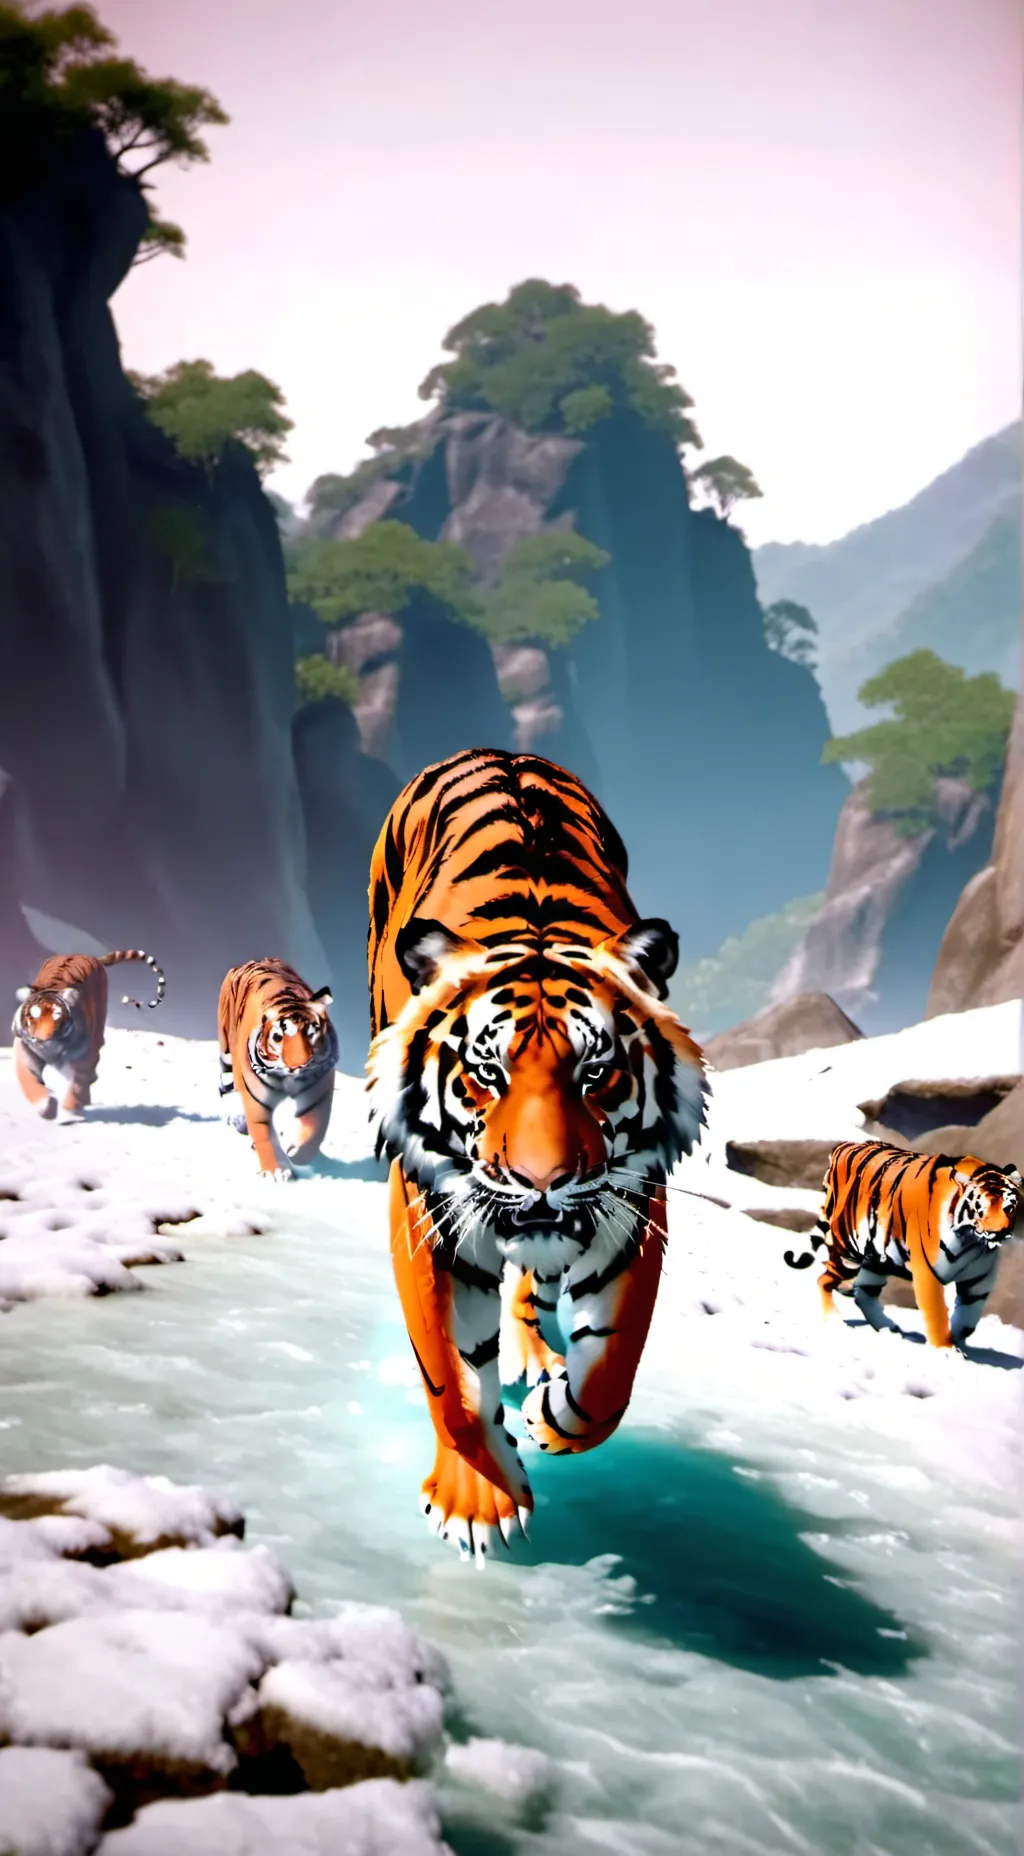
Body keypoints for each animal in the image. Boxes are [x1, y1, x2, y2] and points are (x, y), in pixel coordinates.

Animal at [12, 948, 164, 1118]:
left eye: (57, 1016)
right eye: (33, 1015)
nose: (42, 1040)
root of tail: (86, 956)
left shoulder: (83, 1055)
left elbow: (78, 1083)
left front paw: (71, 1108)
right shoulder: (26, 1054)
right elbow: (29, 1081)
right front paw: (46, 1107)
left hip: (98, 1023)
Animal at [218, 959, 338, 1180]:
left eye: (311, 1033)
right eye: (277, 1037)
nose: (299, 1065)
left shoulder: (317, 1094)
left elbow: (314, 1129)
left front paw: (297, 1154)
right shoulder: (256, 1100)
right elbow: (264, 1134)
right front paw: (276, 1171)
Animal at [365, 747, 708, 1566]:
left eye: (597, 1073)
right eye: (488, 1073)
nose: (543, 1181)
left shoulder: (632, 1204)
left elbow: (612, 1368)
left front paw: (552, 1418)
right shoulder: (431, 1212)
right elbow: (453, 1378)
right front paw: (477, 1502)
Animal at [784, 1138, 1022, 1350]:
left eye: (1009, 1207)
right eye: (979, 1209)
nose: (998, 1232)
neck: (970, 1240)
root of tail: (843, 1147)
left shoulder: (979, 1281)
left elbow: (967, 1322)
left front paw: (959, 1345)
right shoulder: (927, 1273)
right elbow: (937, 1314)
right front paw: (946, 1350)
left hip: (876, 1258)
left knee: (864, 1293)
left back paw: (887, 1327)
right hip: (848, 1251)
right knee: (825, 1280)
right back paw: (833, 1318)